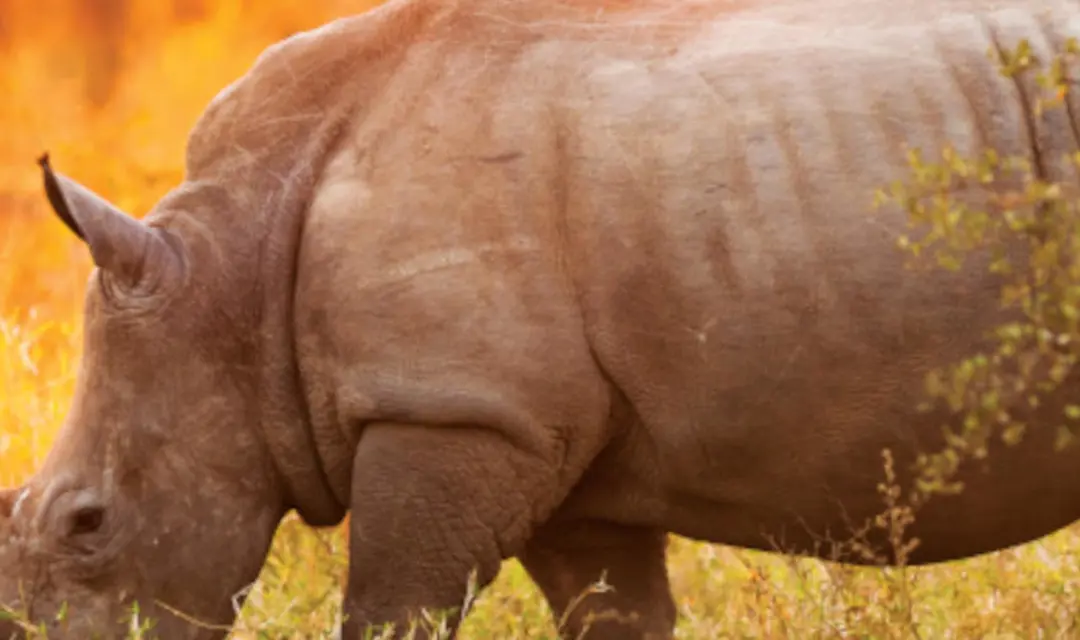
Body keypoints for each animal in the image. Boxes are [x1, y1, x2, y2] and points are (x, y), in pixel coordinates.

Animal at [4, 0, 1080, 637]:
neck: (233, 266)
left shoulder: (454, 407)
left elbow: (391, 609)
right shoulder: (554, 446)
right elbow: (612, 613)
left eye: (88, 524)